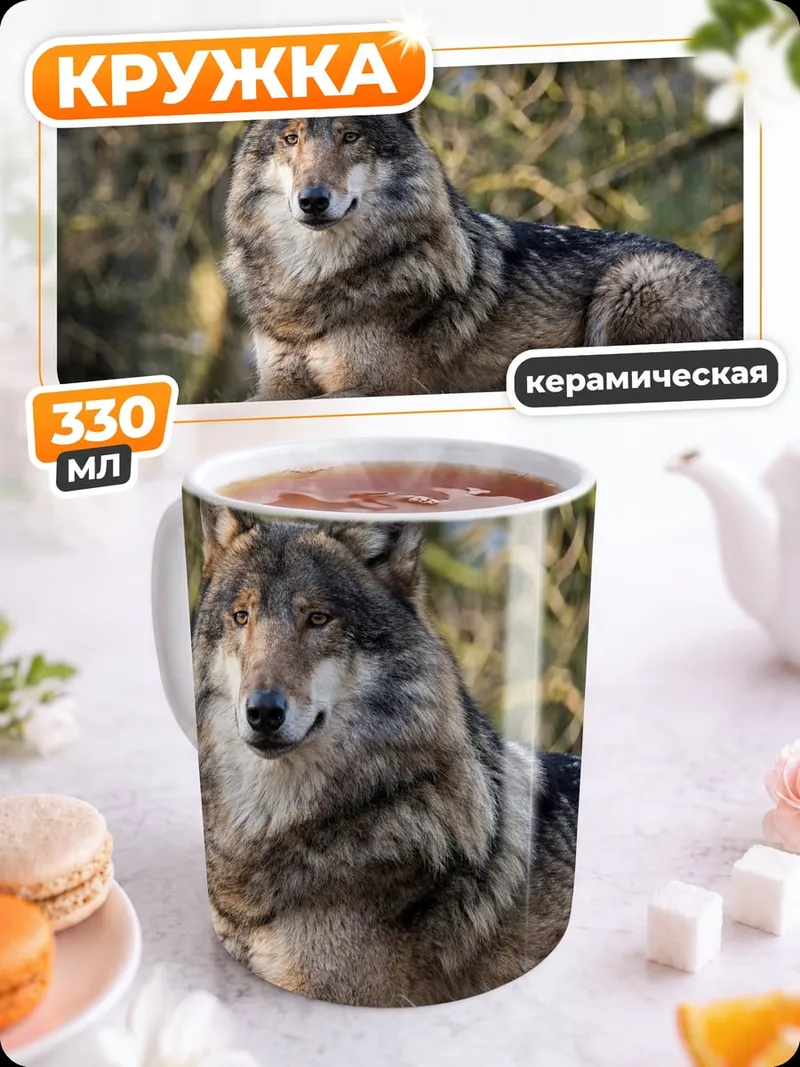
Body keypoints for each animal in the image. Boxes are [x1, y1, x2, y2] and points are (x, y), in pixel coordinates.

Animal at [223, 112, 743, 401]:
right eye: (291, 139)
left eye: (350, 137)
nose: (312, 200)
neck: (313, 284)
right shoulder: (278, 385)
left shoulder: (378, 386)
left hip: (629, 287)